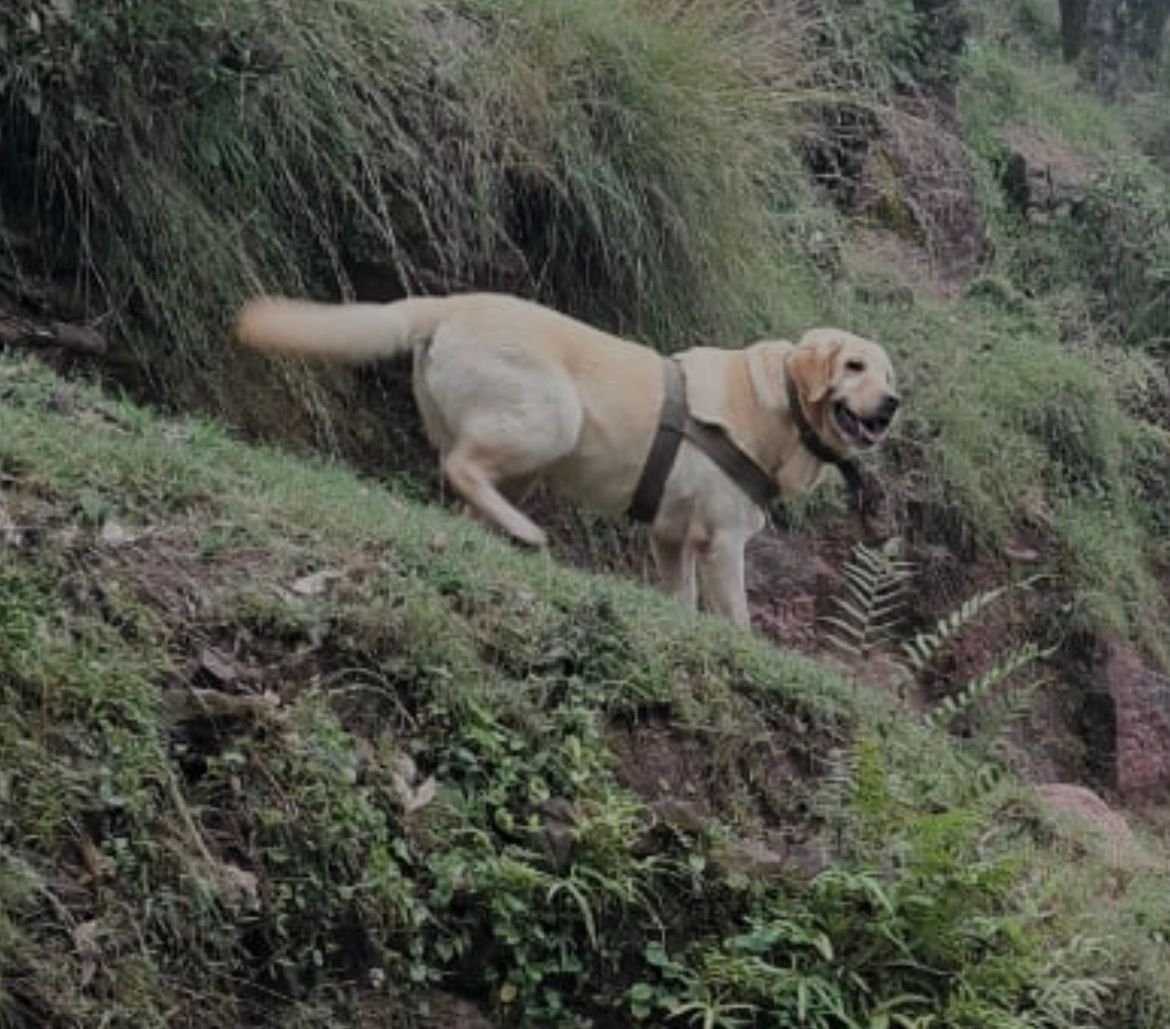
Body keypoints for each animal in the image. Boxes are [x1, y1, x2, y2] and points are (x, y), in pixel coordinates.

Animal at [235, 291, 893, 627]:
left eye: (888, 376)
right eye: (853, 366)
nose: (891, 406)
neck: (778, 404)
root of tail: (450, 304)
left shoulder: (672, 539)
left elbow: (680, 599)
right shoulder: (722, 541)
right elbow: (736, 619)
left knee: (465, 494)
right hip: (554, 419)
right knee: (460, 467)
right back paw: (526, 532)